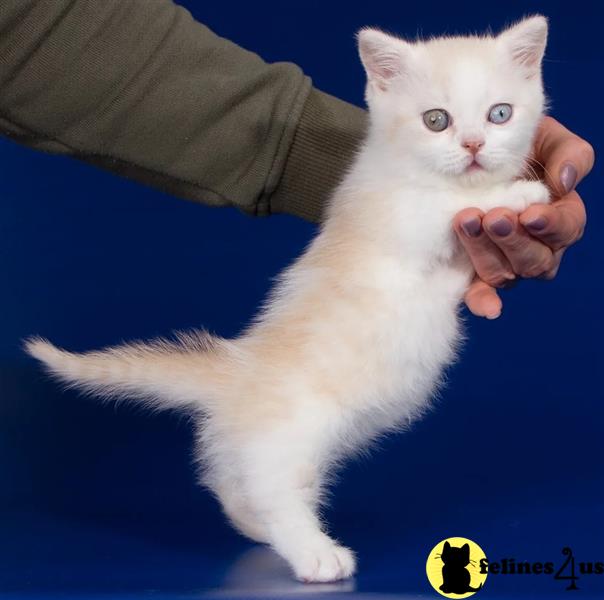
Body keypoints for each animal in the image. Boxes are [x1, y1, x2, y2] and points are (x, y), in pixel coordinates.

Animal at [26, 16, 548, 584]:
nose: (474, 144)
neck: (398, 167)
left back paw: (254, 525)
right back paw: (315, 554)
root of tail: (237, 373)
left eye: (500, 114)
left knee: (229, 477)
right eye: (437, 120)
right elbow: (452, 204)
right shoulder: (400, 219)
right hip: (298, 434)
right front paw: (520, 195)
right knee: (272, 490)